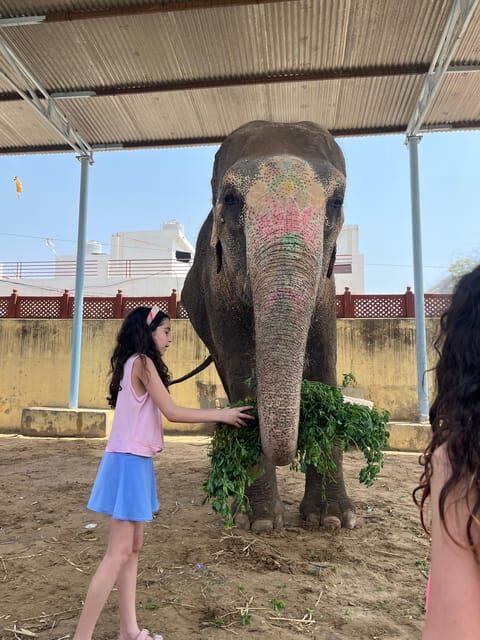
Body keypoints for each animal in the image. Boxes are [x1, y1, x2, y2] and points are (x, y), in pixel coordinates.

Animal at [182, 120, 355, 532]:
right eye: (230, 199)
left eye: (337, 202)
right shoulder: (217, 287)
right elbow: (243, 371)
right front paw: (260, 522)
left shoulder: (326, 288)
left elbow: (324, 364)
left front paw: (332, 519)